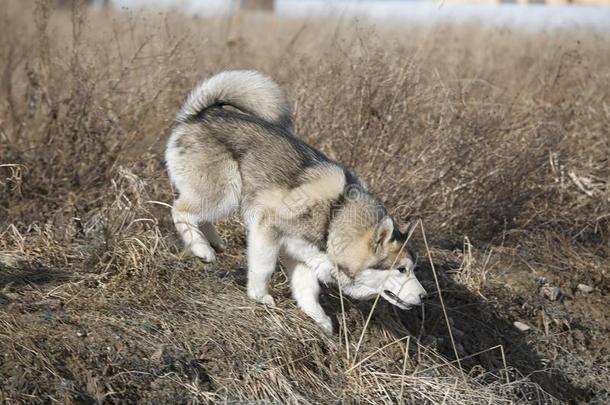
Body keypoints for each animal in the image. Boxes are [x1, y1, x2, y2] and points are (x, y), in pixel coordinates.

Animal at [164, 71, 426, 332]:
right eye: (401, 269)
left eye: (413, 269)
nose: (425, 297)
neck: (335, 218)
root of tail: (199, 114)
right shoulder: (267, 230)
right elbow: (264, 268)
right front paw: (260, 296)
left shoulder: (300, 256)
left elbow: (308, 290)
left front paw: (320, 320)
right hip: (226, 192)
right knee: (180, 209)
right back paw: (202, 248)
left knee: (199, 216)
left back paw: (213, 243)